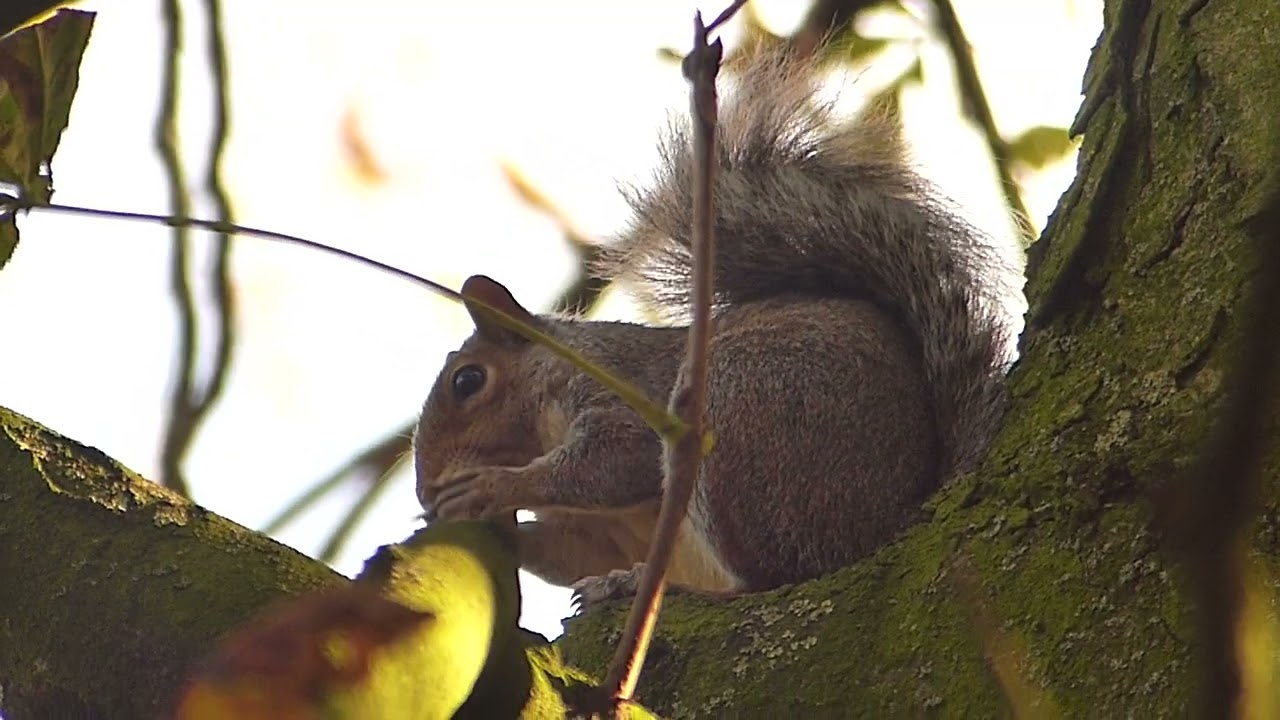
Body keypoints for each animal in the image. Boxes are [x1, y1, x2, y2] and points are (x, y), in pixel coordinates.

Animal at [412, 45, 1012, 603]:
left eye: (468, 381)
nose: (423, 493)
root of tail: (899, 514)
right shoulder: (592, 534)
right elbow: (568, 550)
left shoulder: (619, 391)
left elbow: (614, 460)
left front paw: (492, 485)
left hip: (740, 412)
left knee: (771, 577)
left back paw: (650, 584)